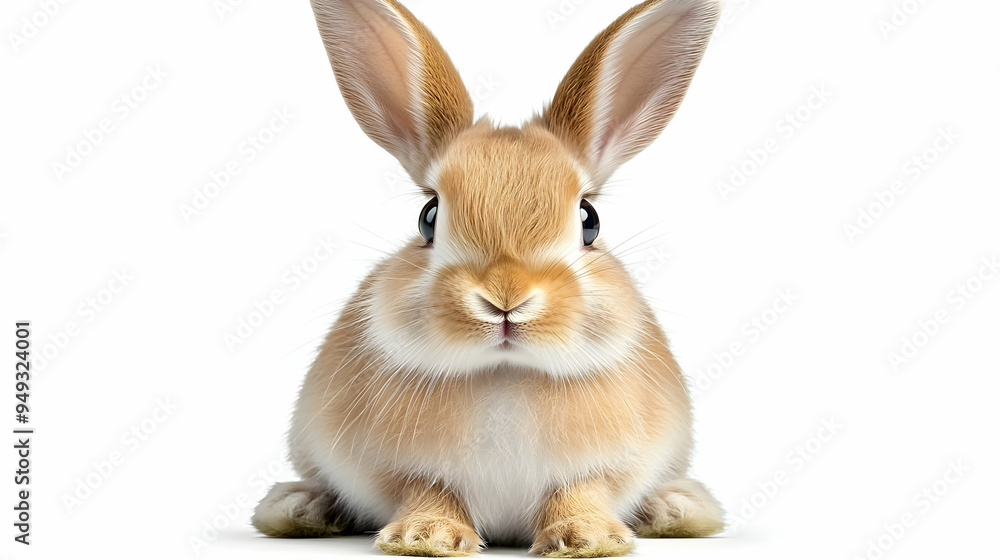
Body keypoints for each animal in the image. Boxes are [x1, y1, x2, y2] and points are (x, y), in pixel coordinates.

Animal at [252, 0, 724, 556]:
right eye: (428, 217)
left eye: (589, 220)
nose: (506, 298)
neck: (505, 373)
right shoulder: (408, 471)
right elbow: (429, 492)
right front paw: (425, 536)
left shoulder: (601, 468)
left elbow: (580, 492)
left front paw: (587, 537)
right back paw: (297, 506)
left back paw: (679, 508)